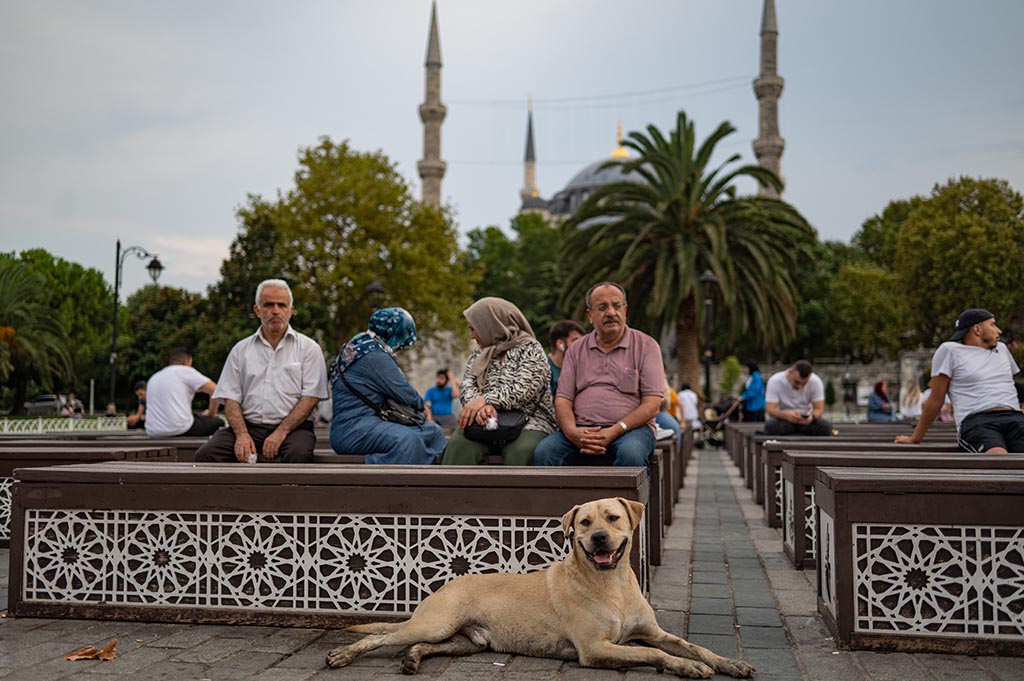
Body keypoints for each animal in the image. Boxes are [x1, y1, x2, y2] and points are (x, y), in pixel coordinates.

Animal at [325, 497, 753, 675]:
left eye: (613, 517)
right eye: (584, 523)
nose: (599, 538)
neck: (611, 583)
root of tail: (448, 584)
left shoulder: (653, 631)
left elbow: (690, 646)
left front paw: (727, 663)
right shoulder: (595, 649)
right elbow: (652, 655)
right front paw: (686, 668)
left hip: (469, 641)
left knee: (422, 646)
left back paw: (413, 659)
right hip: (436, 623)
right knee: (381, 636)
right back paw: (344, 654)